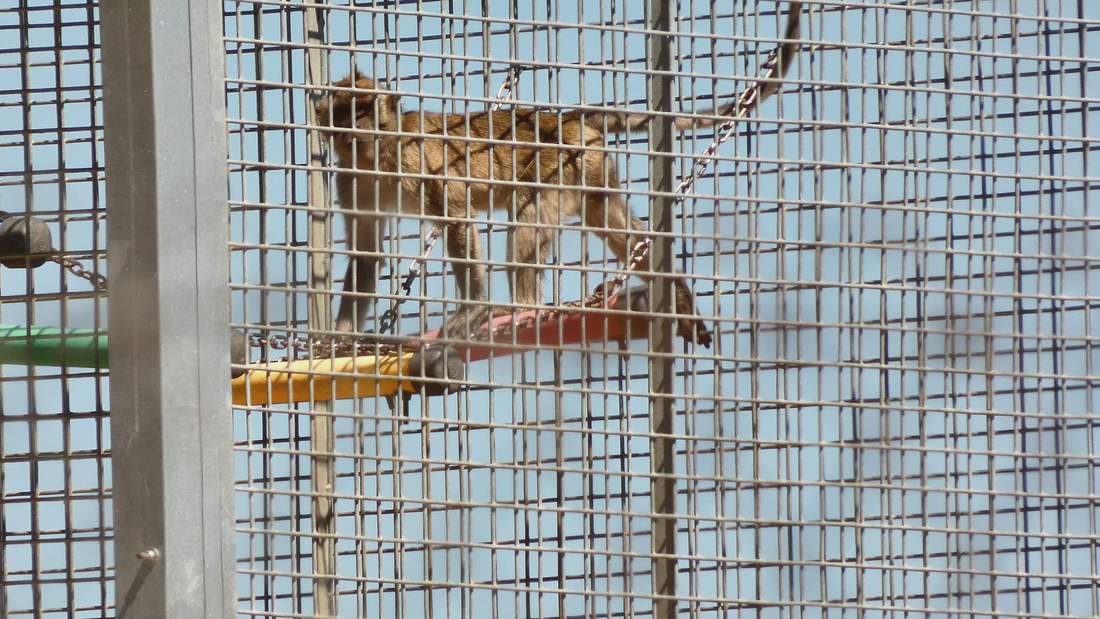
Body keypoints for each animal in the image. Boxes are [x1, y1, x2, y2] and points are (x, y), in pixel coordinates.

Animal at [315, 4, 801, 349]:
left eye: (365, 111)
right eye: (344, 114)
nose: (356, 127)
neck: (377, 155)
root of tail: (567, 120)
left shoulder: (414, 160)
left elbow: (456, 219)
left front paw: (473, 310)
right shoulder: (350, 178)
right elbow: (365, 254)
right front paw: (338, 337)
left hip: (560, 166)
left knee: (527, 219)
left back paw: (520, 312)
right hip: (591, 170)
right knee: (613, 223)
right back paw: (676, 294)